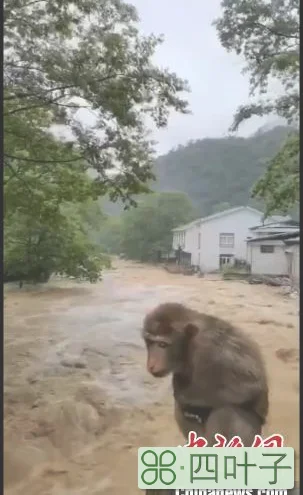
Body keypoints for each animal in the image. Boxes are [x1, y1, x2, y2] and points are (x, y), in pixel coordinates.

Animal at [142, 302, 268, 450]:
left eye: (162, 344)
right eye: (150, 342)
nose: (151, 364)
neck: (189, 344)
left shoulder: (211, 348)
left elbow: (250, 386)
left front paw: (186, 398)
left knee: (227, 410)